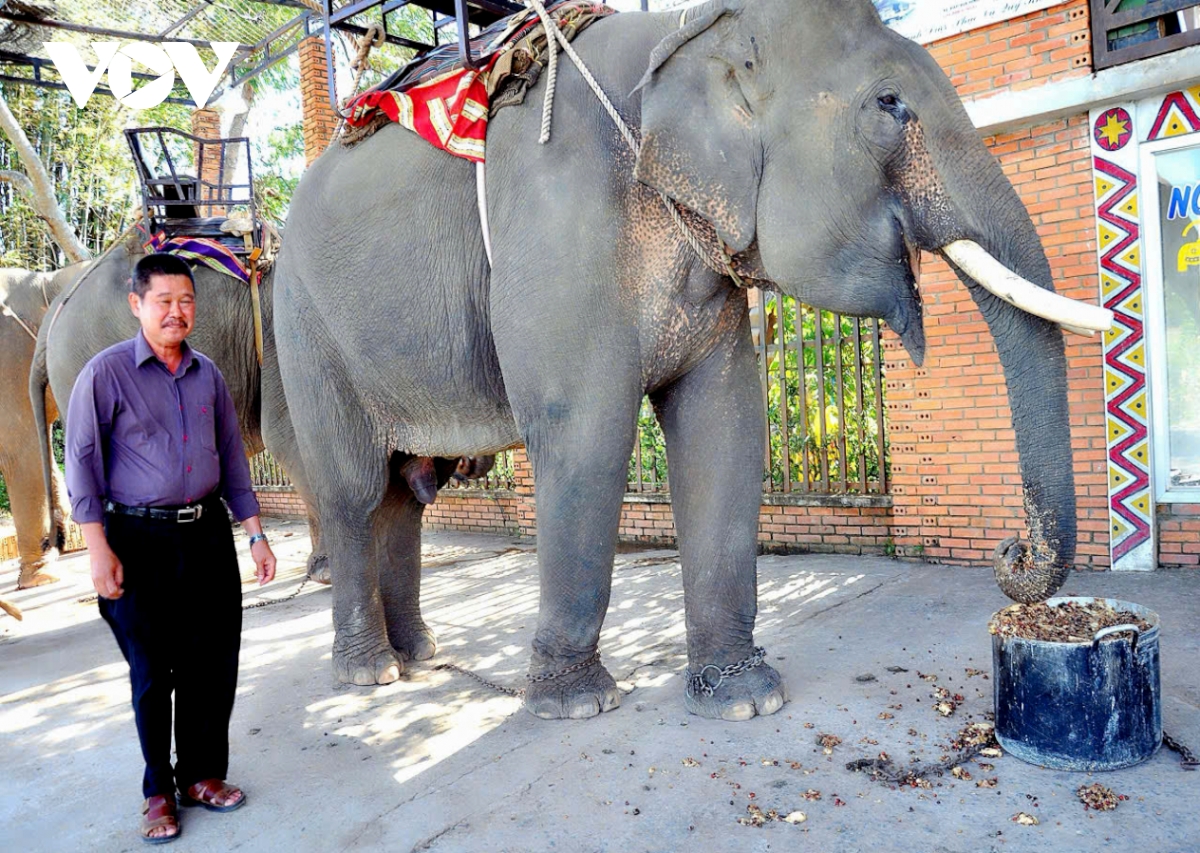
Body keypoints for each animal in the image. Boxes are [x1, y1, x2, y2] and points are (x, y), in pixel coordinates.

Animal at [272, 0, 1104, 719]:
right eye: (888, 104)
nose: (1012, 552)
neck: (686, 30)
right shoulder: (556, 223)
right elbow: (586, 432)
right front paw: (576, 704)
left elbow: (724, 425)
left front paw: (745, 698)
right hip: (305, 329)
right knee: (351, 489)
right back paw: (369, 673)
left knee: (402, 495)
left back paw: (419, 657)